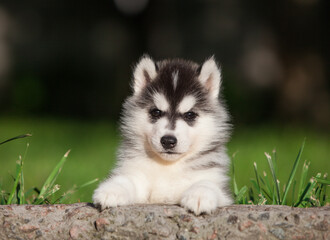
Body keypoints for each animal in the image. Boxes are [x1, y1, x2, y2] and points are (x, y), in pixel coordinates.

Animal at [93, 55, 232, 214]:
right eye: (156, 112)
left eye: (190, 115)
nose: (168, 141)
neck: (167, 167)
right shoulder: (137, 174)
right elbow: (125, 180)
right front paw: (111, 190)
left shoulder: (220, 187)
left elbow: (207, 183)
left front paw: (200, 195)